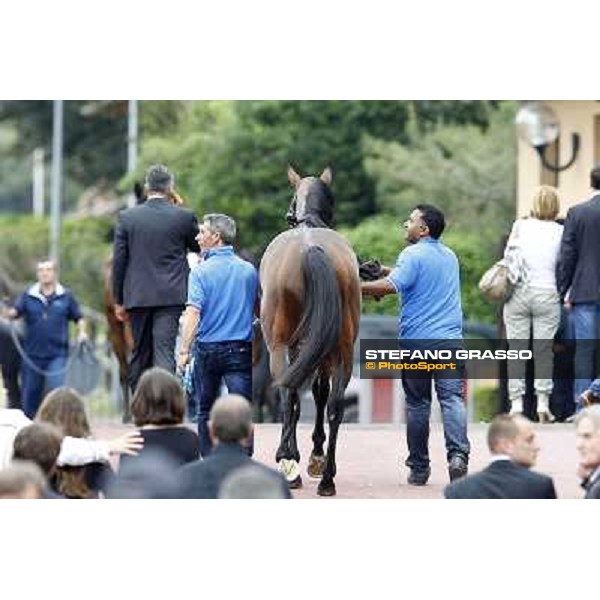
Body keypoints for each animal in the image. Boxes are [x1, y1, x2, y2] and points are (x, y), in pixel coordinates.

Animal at [258, 165, 360, 496]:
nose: (287, 215)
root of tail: (310, 247)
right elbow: (319, 394)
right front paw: (315, 457)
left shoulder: (294, 347)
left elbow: (296, 398)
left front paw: (294, 456)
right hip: (342, 348)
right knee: (335, 405)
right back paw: (327, 478)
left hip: (279, 345)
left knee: (286, 392)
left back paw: (289, 463)